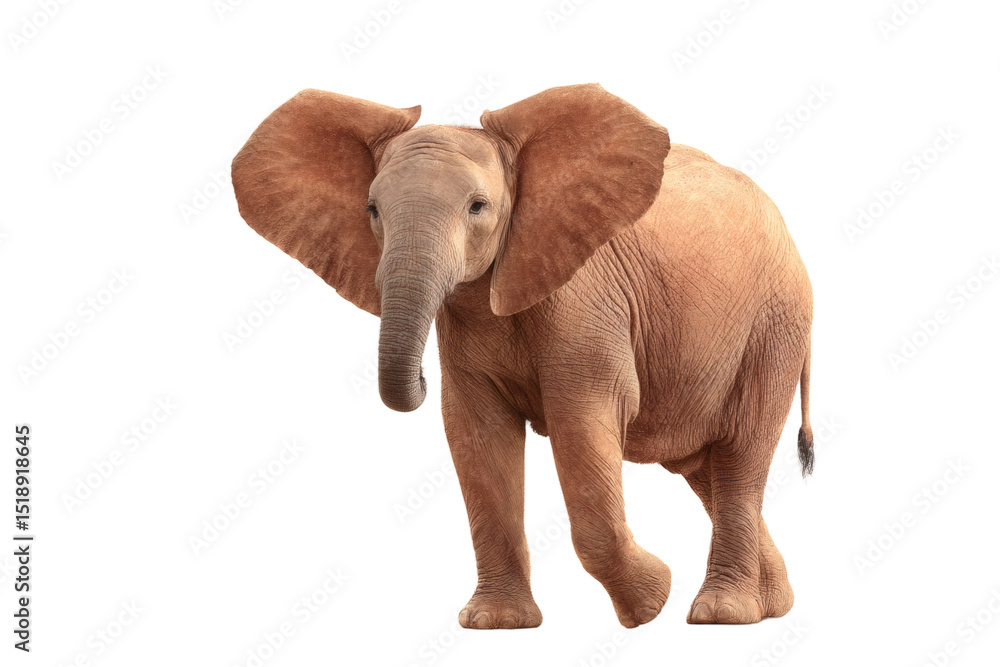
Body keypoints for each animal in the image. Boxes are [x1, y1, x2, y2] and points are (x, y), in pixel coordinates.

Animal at [231, 84, 814, 629]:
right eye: (371, 211)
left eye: (478, 207)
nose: (419, 377)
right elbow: (477, 435)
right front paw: (496, 624)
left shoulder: (587, 301)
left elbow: (583, 421)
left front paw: (651, 601)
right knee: (705, 470)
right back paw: (773, 606)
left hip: (776, 325)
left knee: (739, 453)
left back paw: (722, 613)